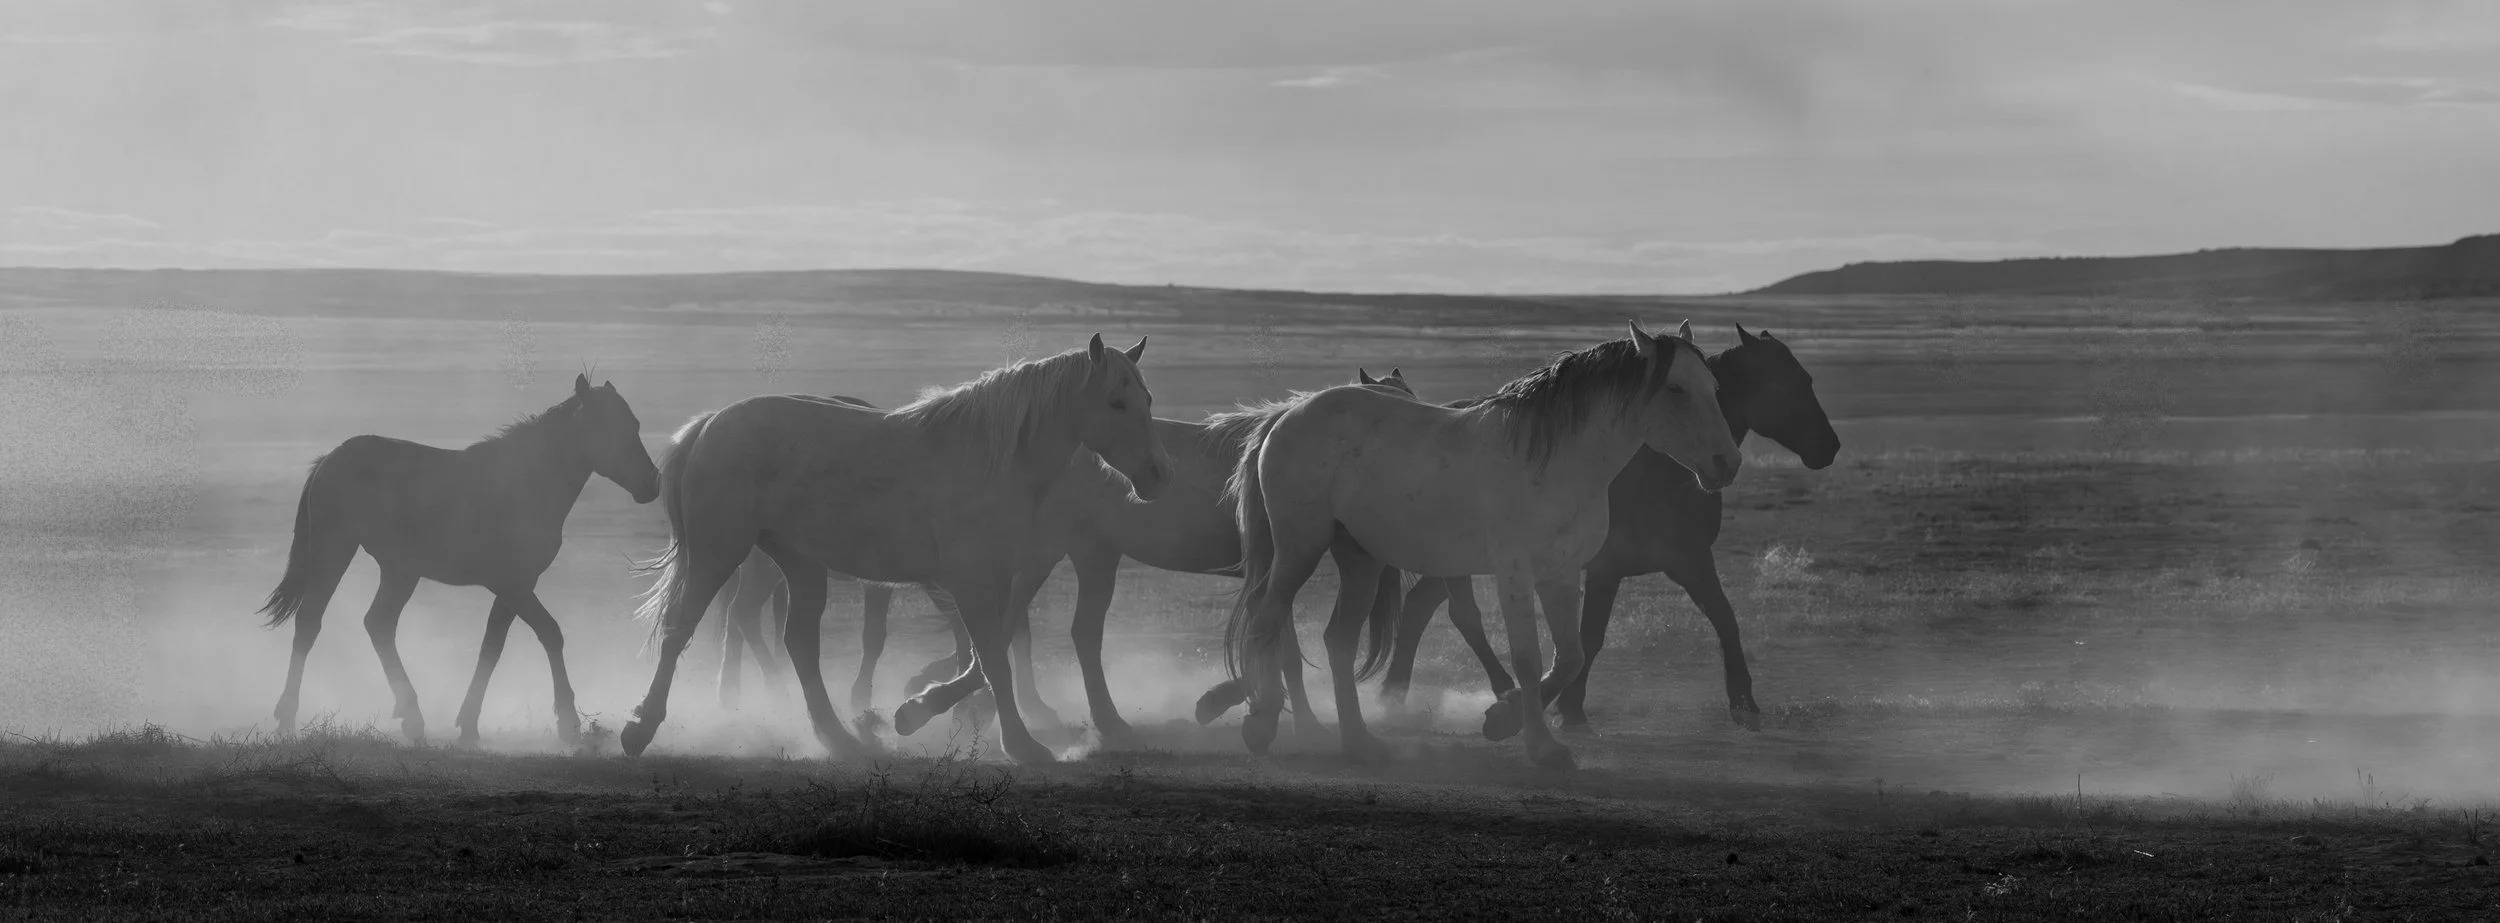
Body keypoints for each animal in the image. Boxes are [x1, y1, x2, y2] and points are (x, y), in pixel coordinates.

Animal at [257, 373, 661, 747]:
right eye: (610, 426)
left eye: (635, 424)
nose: (652, 483)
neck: (528, 482)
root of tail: (329, 459)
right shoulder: (512, 584)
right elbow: (550, 634)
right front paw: (568, 722)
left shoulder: (516, 586)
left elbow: (491, 648)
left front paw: (469, 723)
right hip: (335, 550)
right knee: (311, 622)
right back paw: (288, 717)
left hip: (399, 571)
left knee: (378, 624)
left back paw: (412, 717)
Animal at [621, 335, 1169, 764]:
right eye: (1116, 402)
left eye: (1147, 398)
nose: (1158, 474)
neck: (993, 461)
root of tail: (711, 424)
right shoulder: (969, 579)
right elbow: (993, 658)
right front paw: (1021, 745)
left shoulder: (994, 578)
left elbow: (986, 654)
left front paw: (917, 710)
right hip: (718, 553)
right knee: (680, 628)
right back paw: (640, 728)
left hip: (799, 563)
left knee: (799, 642)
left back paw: (839, 738)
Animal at [721, 370, 1422, 749]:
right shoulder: (1278, 565)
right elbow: (1281, 646)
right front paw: (1285, 718)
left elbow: (1279, 644)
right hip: (1057, 555)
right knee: (1019, 630)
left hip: (1082, 557)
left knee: (1034, 633)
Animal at [1224, 321, 1740, 768]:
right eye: (1675, 389)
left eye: (1715, 387)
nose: (1727, 463)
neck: (1557, 465)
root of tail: (1288, 414)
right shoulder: (1515, 572)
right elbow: (1529, 660)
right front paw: (1541, 748)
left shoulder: (1560, 574)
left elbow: (1569, 657)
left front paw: (1504, 718)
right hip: (1300, 547)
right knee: (1268, 621)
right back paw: (1265, 725)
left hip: (1361, 560)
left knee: (1338, 641)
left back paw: (1360, 743)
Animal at [1381, 325, 1840, 736]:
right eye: (1790, 382)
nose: (1830, 447)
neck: (1655, 472)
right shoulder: (1607, 568)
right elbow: (1590, 637)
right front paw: (1565, 709)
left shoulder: (1690, 560)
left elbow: (1725, 619)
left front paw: (1745, 703)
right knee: (1448, 611)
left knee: (1421, 605)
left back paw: (1395, 695)